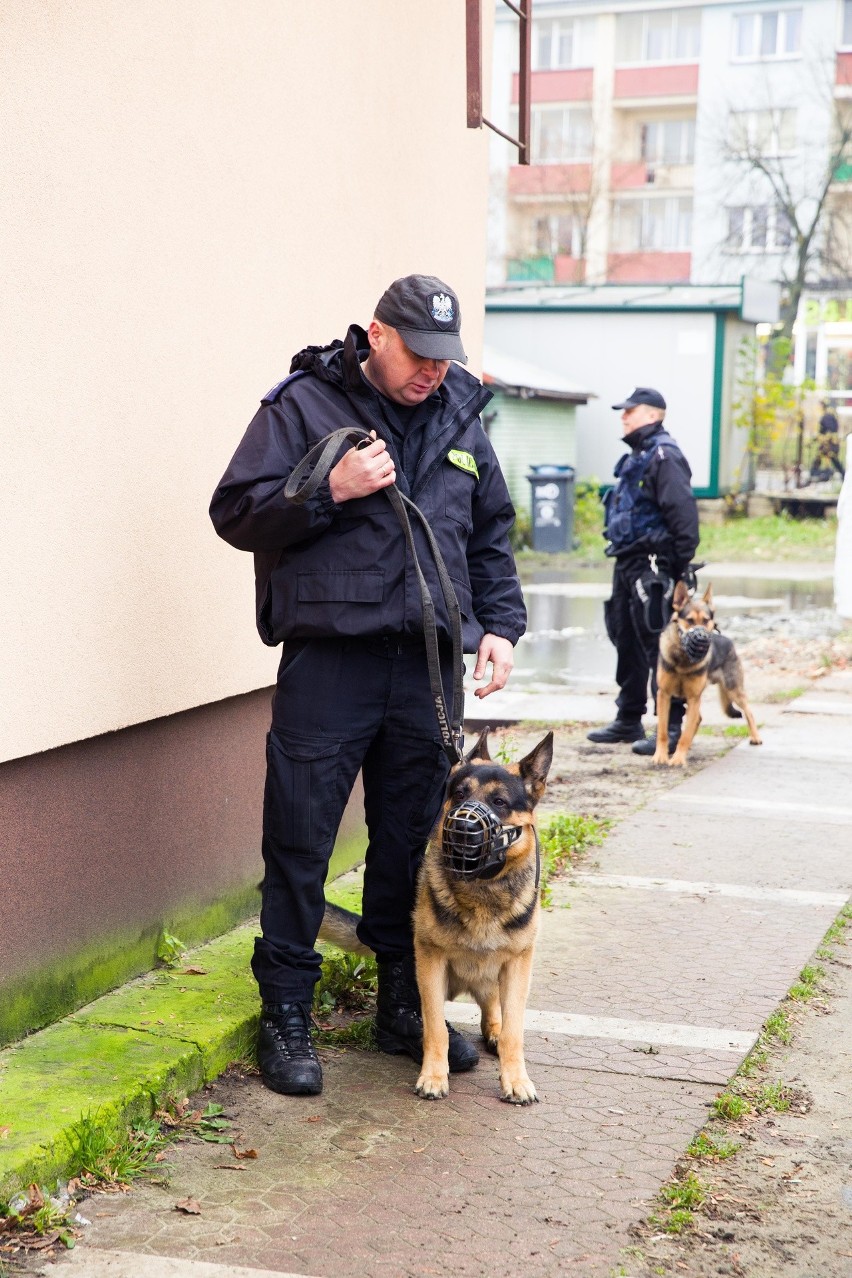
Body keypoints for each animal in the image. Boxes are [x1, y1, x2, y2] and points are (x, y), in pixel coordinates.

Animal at [659, 582, 761, 766]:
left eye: (706, 621)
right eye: (690, 620)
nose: (701, 640)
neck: (684, 659)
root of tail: (727, 640)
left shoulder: (693, 697)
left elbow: (685, 734)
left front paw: (678, 758)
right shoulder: (664, 695)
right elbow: (662, 730)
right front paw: (660, 757)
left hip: (733, 691)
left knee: (748, 711)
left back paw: (755, 736)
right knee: (697, 720)